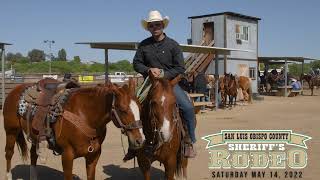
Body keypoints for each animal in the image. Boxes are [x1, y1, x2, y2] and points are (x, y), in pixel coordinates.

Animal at [2, 79, 144, 179]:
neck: (85, 115)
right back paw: (8, 176)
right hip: (11, 131)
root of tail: (15, 90)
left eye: (140, 108)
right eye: (122, 110)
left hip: (35, 136)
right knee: (9, 153)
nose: (140, 140)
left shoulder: (93, 156)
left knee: (33, 154)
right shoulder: (67, 156)